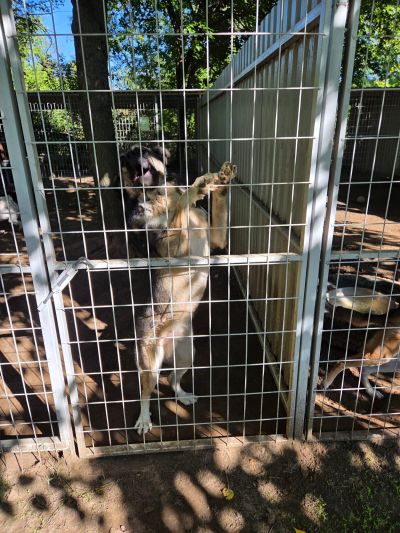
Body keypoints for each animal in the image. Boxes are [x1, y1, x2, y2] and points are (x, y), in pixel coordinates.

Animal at [130, 160, 237, 434]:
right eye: (142, 198)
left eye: (156, 193)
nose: (137, 210)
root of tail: (168, 341)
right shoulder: (172, 249)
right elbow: (180, 209)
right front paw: (194, 191)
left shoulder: (217, 239)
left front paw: (221, 181)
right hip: (149, 363)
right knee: (145, 393)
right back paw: (144, 420)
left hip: (187, 354)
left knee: (171, 378)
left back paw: (184, 396)